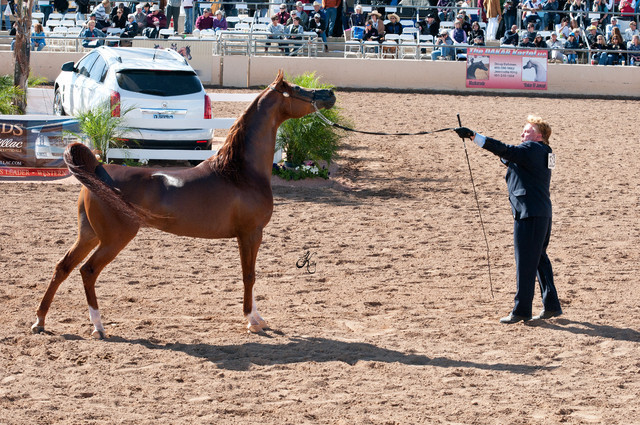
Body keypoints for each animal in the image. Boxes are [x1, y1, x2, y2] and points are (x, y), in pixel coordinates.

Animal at [30, 70, 336, 338]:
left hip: (89, 234)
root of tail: (97, 169)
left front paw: (257, 318)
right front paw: (252, 321)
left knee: (63, 267)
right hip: (114, 238)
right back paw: (98, 327)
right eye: (297, 89)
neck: (239, 172)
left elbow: (250, 274)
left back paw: (40, 321)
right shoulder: (251, 234)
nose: (329, 94)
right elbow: (249, 275)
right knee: (88, 271)